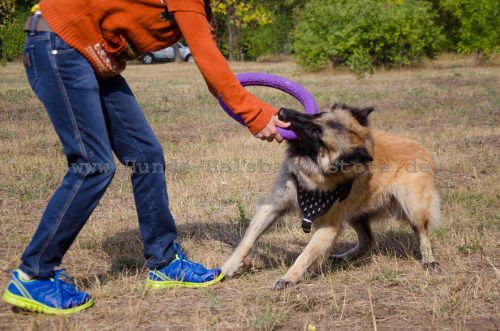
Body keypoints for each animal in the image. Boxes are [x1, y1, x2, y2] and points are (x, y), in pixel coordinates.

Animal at [221, 104, 440, 290]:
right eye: (318, 114)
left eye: (316, 133)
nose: (282, 111)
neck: (313, 171)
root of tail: (422, 149)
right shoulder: (274, 206)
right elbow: (248, 240)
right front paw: (228, 267)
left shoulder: (328, 227)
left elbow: (305, 254)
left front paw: (288, 277)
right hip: (355, 215)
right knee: (368, 241)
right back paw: (344, 257)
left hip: (413, 207)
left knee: (421, 233)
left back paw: (429, 260)